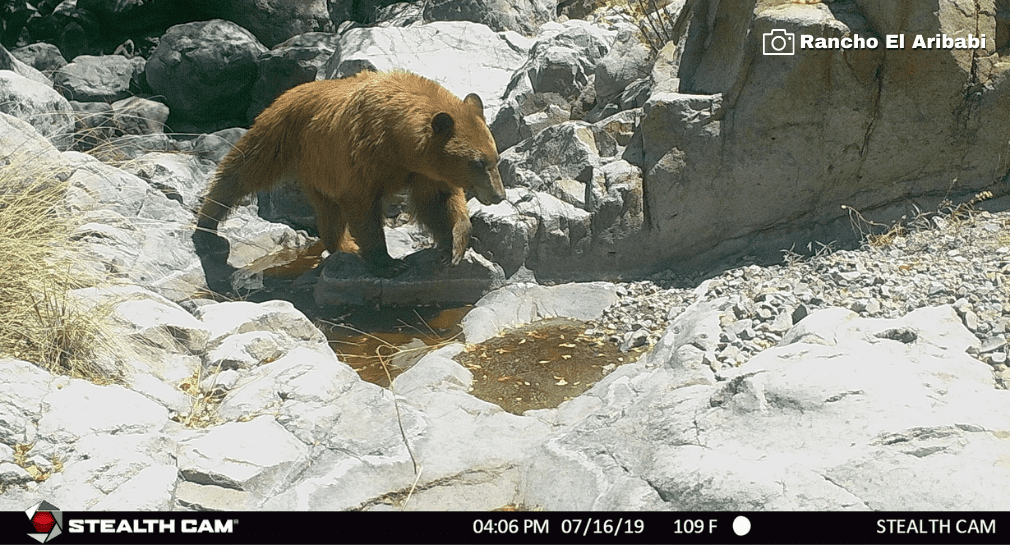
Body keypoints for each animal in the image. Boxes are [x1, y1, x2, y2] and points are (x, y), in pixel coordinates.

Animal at [193, 70, 506, 279]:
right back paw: (207, 222)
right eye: (478, 162)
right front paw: (390, 262)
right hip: (282, 134)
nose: (499, 195)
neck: (398, 141)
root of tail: (288, 91)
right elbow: (363, 207)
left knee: (327, 210)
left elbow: (437, 201)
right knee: (243, 169)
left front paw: (453, 245)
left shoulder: (423, 170)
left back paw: (343, 245)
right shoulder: (366, 158)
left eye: (495, 158)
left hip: (317, 168)